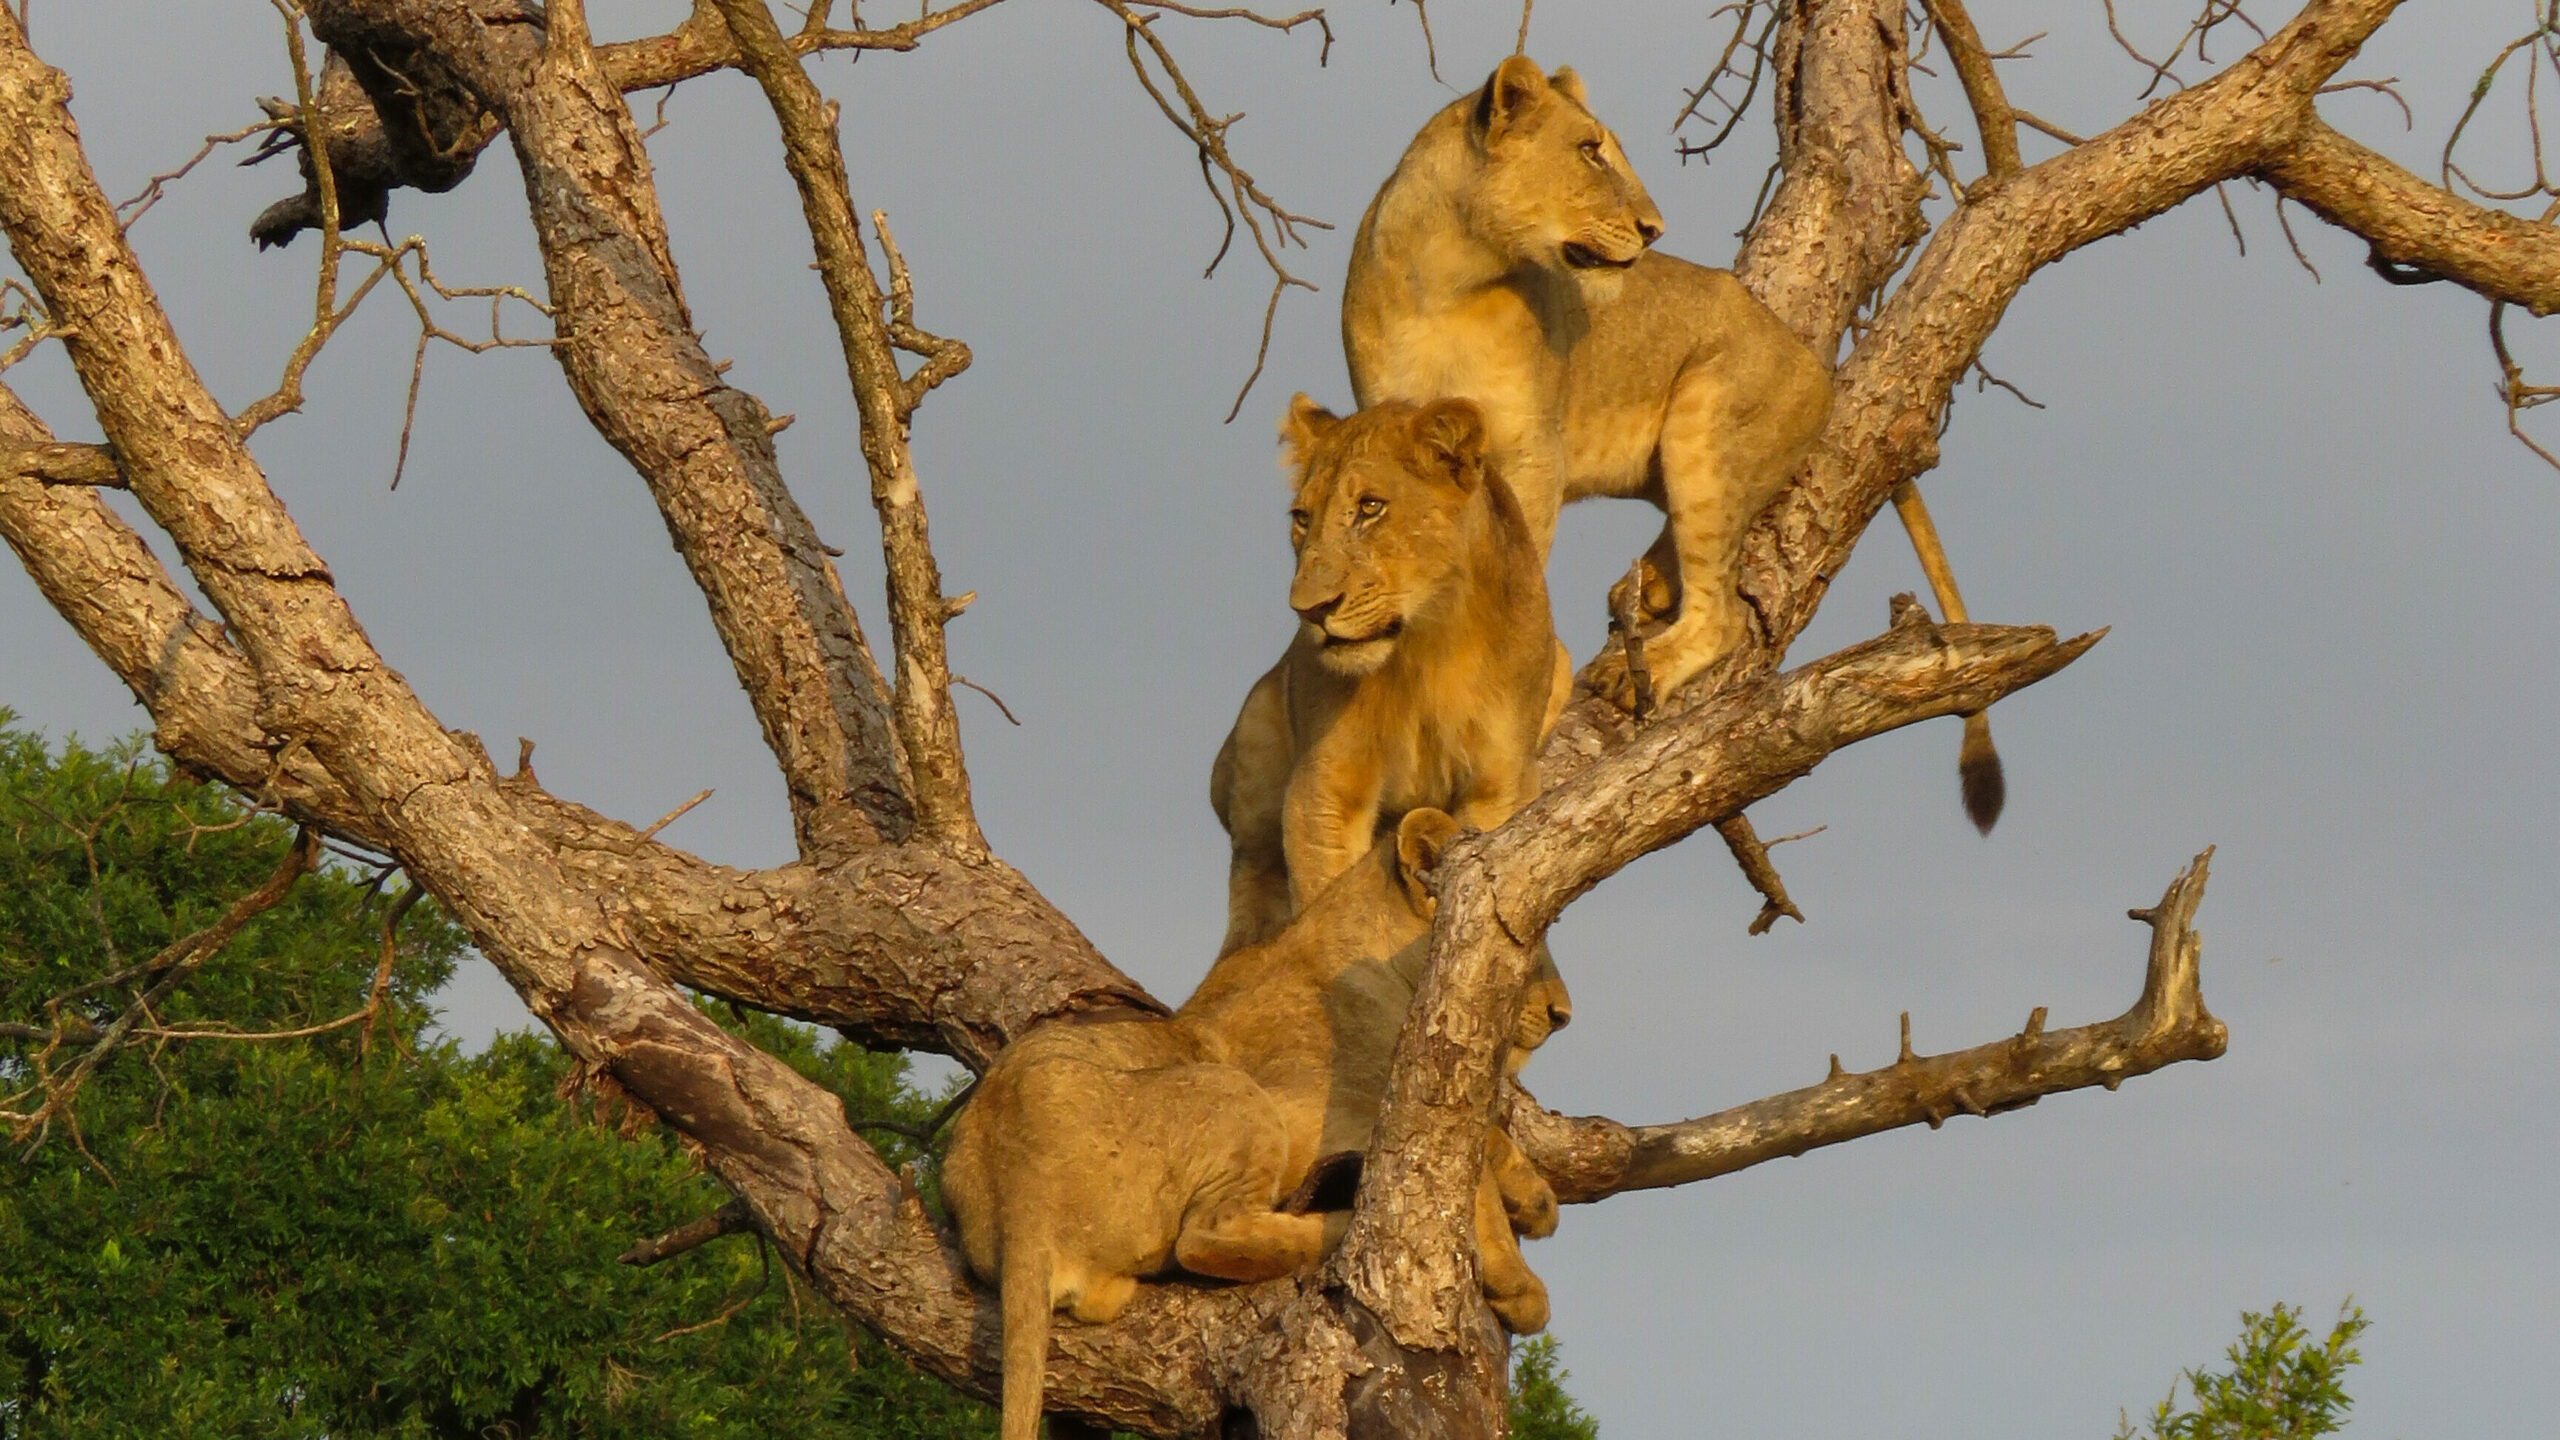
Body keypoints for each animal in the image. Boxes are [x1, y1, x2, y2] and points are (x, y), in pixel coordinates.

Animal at [943, 811, 1571, 1440]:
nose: (1562, 1015)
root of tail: (1021, 1201)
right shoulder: (1323, 1113)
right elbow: (1460, 1168)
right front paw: (1519, 1283)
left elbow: (1487, 1138)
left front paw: (1536, 1200)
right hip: (1233, 1092)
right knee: (1206, 1238)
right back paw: (1335, 1225)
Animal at [1208, 395, 1565, 956]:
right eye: (1302, 518)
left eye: (1371, 507)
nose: (1309, 610)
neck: (1427, 646)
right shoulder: (1326, 787)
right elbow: (1323, 898)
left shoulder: (1499, 782)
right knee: (1252, 874)